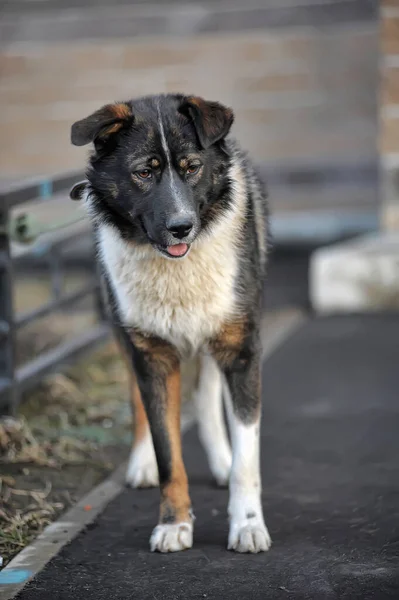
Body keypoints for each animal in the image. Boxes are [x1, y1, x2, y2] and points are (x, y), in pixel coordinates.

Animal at [71, 94, 272, 552]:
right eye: (144, 172)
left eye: (191, 167)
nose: (182, 227)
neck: (178, 266)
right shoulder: (153, 355)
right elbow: (169, 454)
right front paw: (173, 524)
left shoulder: (240, 349)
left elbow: (248, 456)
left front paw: (248, 524)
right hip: (126, 331)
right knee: (138, 397)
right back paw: (142, 462)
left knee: (208, 396)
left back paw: (221, 460)